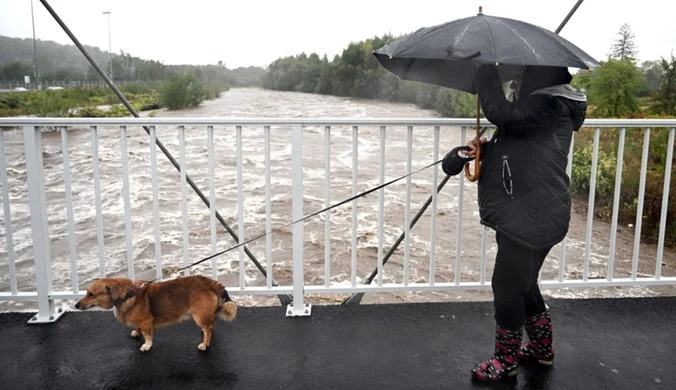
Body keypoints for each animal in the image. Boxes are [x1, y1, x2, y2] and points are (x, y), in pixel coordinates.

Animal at [74, 274, 236, 354]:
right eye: (87, 293)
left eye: (91, 294)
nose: (76, 305)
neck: (126, 295)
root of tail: (212, 283)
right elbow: (139, 328)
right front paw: (136, 332)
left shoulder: (146, 322)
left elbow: (148, 336)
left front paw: (146, 346)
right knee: (210, 325)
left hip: (198, 315)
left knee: (208, 329)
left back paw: (204, 344)